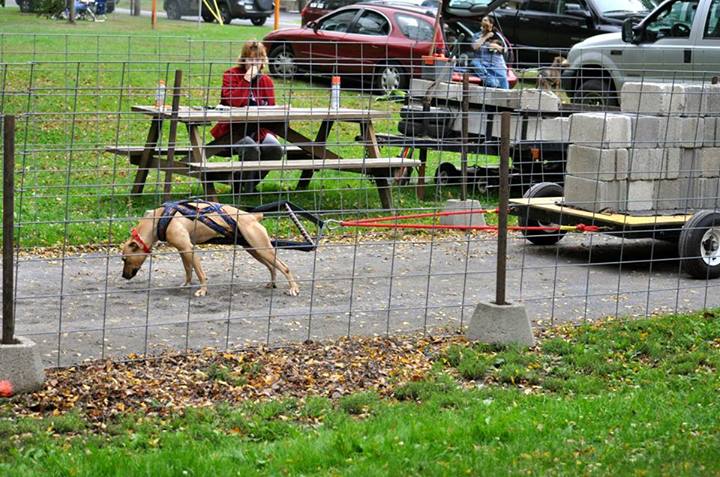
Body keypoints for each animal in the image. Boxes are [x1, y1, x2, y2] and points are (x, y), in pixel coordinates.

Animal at [120, 199, 298, 296]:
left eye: (124, 259)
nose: (123, 276)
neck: (158, 219)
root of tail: (253, 216)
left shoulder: (189, 248)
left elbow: (200, 273)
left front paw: (203, 290)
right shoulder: (183, 250)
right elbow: (188, 270)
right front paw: (187, 284)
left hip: (262, 248)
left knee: (285, 267)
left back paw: (293, 288)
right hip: (254, 250)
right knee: (272, 267)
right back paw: (272, 283)